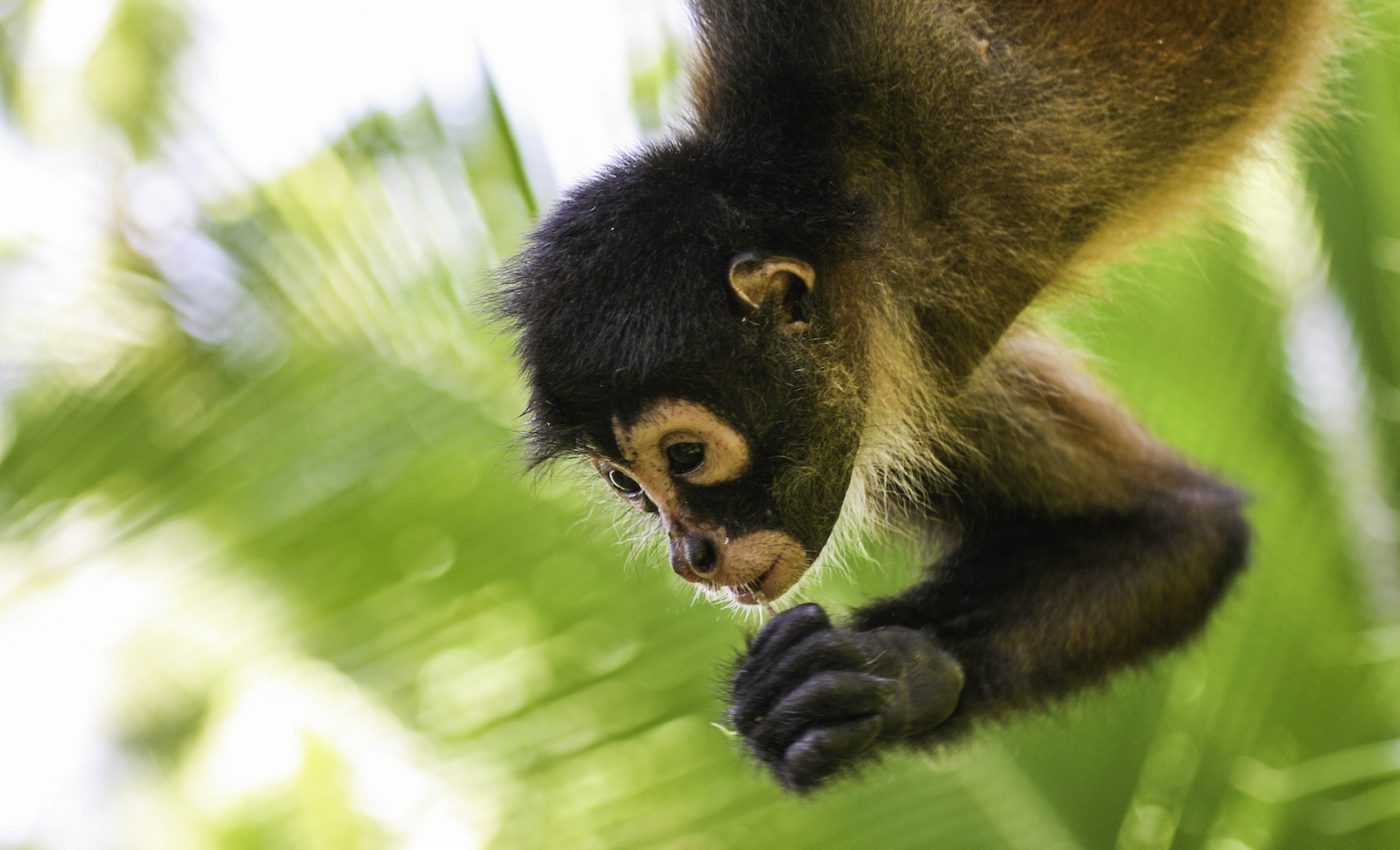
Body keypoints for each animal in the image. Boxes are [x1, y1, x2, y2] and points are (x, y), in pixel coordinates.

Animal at [493, 0, 1336, 792]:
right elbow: (1178, 531)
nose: (691, 555)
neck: (857, 204)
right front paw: (897, 673)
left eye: (688, 454)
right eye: (627, 485)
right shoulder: (903, 366)